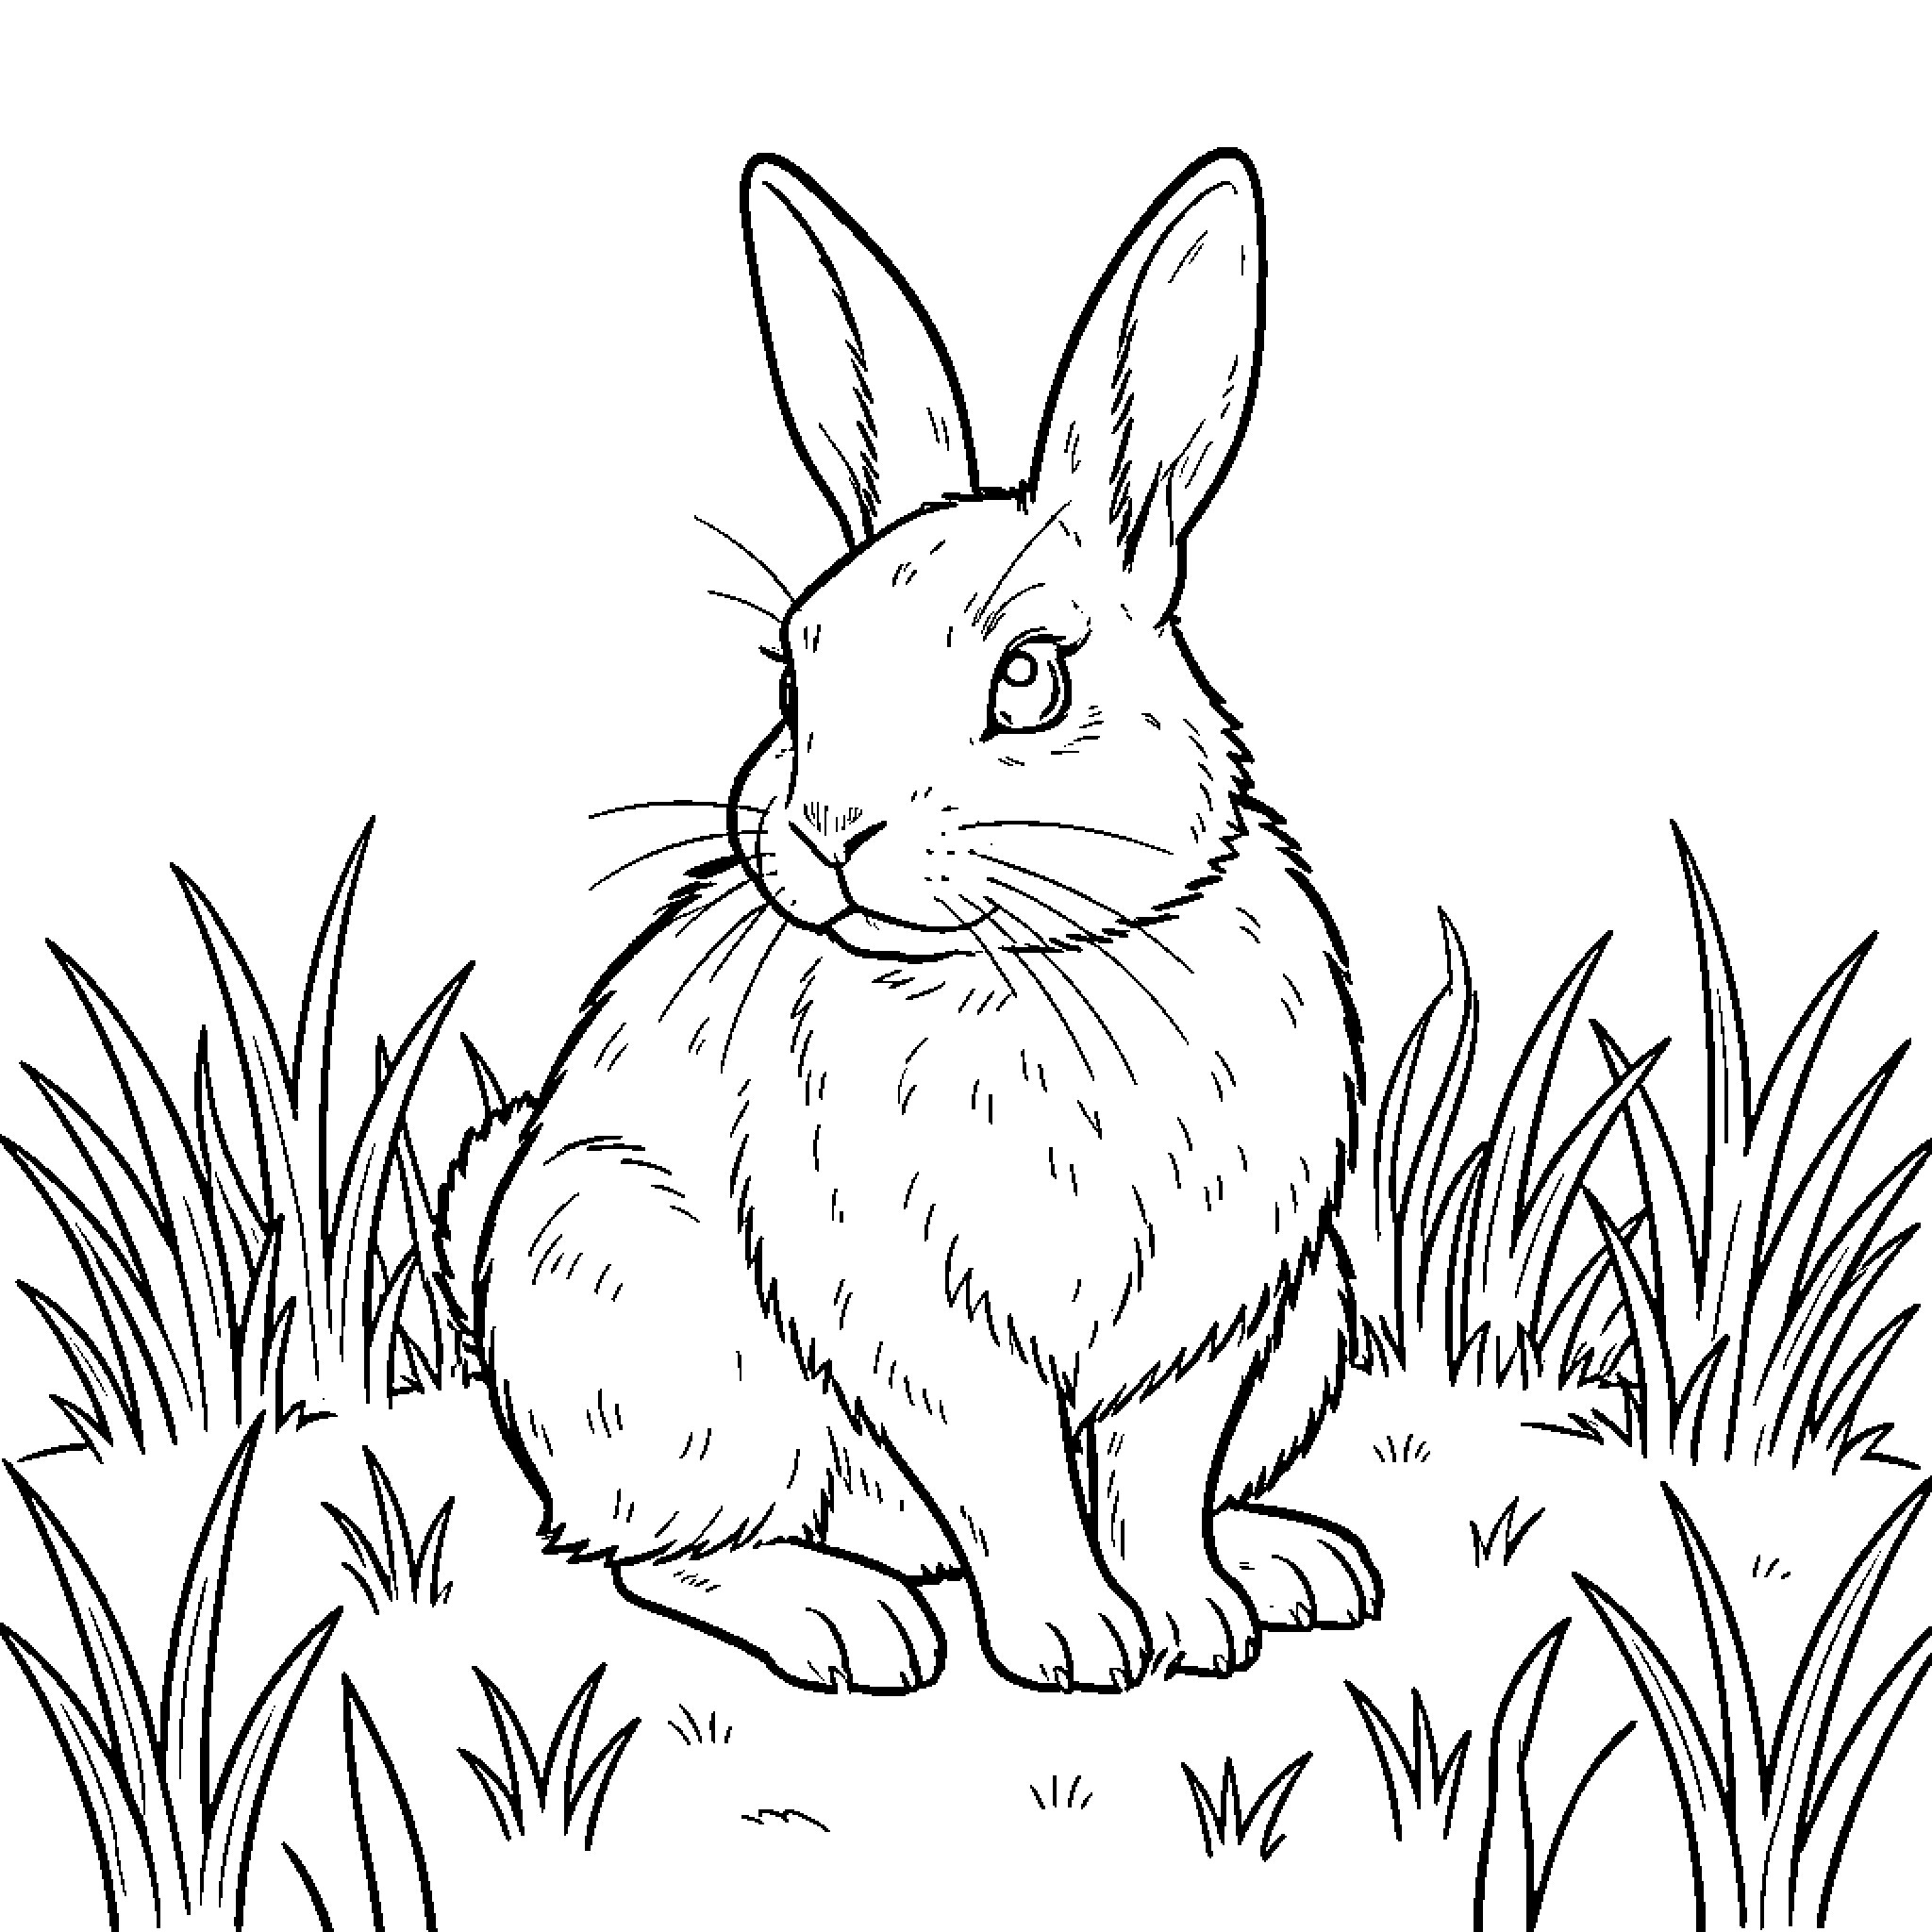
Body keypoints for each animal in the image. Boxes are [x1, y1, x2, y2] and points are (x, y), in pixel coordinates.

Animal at [437, 146, 1380, 1696]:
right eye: (795, 668)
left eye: (1030, 677)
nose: (824, 833)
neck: (1037, 958)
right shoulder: (922, 1321)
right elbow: (1012, 1478)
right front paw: (1079, 1643)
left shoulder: (1215, 1317)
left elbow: (1156, 1480)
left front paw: (1194, 1620)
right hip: (680, 1358)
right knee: (659, 1553)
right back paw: (850, 1622)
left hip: (1306, 1333)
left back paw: (1290, 1563)